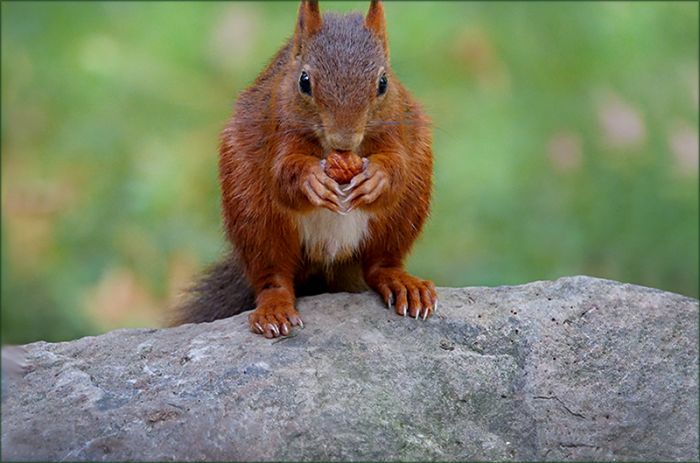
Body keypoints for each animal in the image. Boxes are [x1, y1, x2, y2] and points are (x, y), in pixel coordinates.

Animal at [172, 0, 437, 338]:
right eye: (304, 82)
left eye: (383, 83)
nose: (344, 140)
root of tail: (329, 259)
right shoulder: (278, 125)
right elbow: (282, 173)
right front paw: (312, 180)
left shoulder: (398, 125)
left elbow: (397, 167)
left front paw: (377, 178)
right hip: (255, 217)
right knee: (273, 276)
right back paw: (274, 308)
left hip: (406, 209)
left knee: (380, 264)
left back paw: (403, 284)